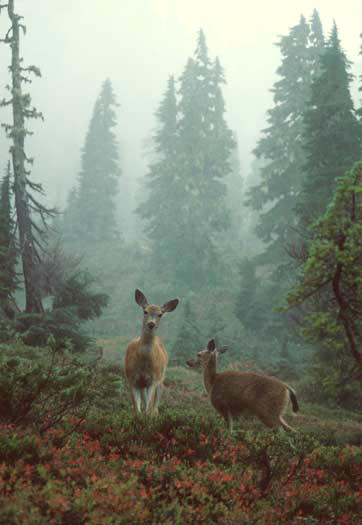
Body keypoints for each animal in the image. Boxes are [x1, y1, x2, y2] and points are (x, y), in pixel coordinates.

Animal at [125, 288, 179, 416]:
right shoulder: (132, 378)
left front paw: (148, 418)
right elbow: (137, 410)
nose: (151, 324)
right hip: (143, 384)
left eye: (160, 314)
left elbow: (149, 408)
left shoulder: (153, 379)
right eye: (145, 311)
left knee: (155, 404)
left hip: (161, 377)